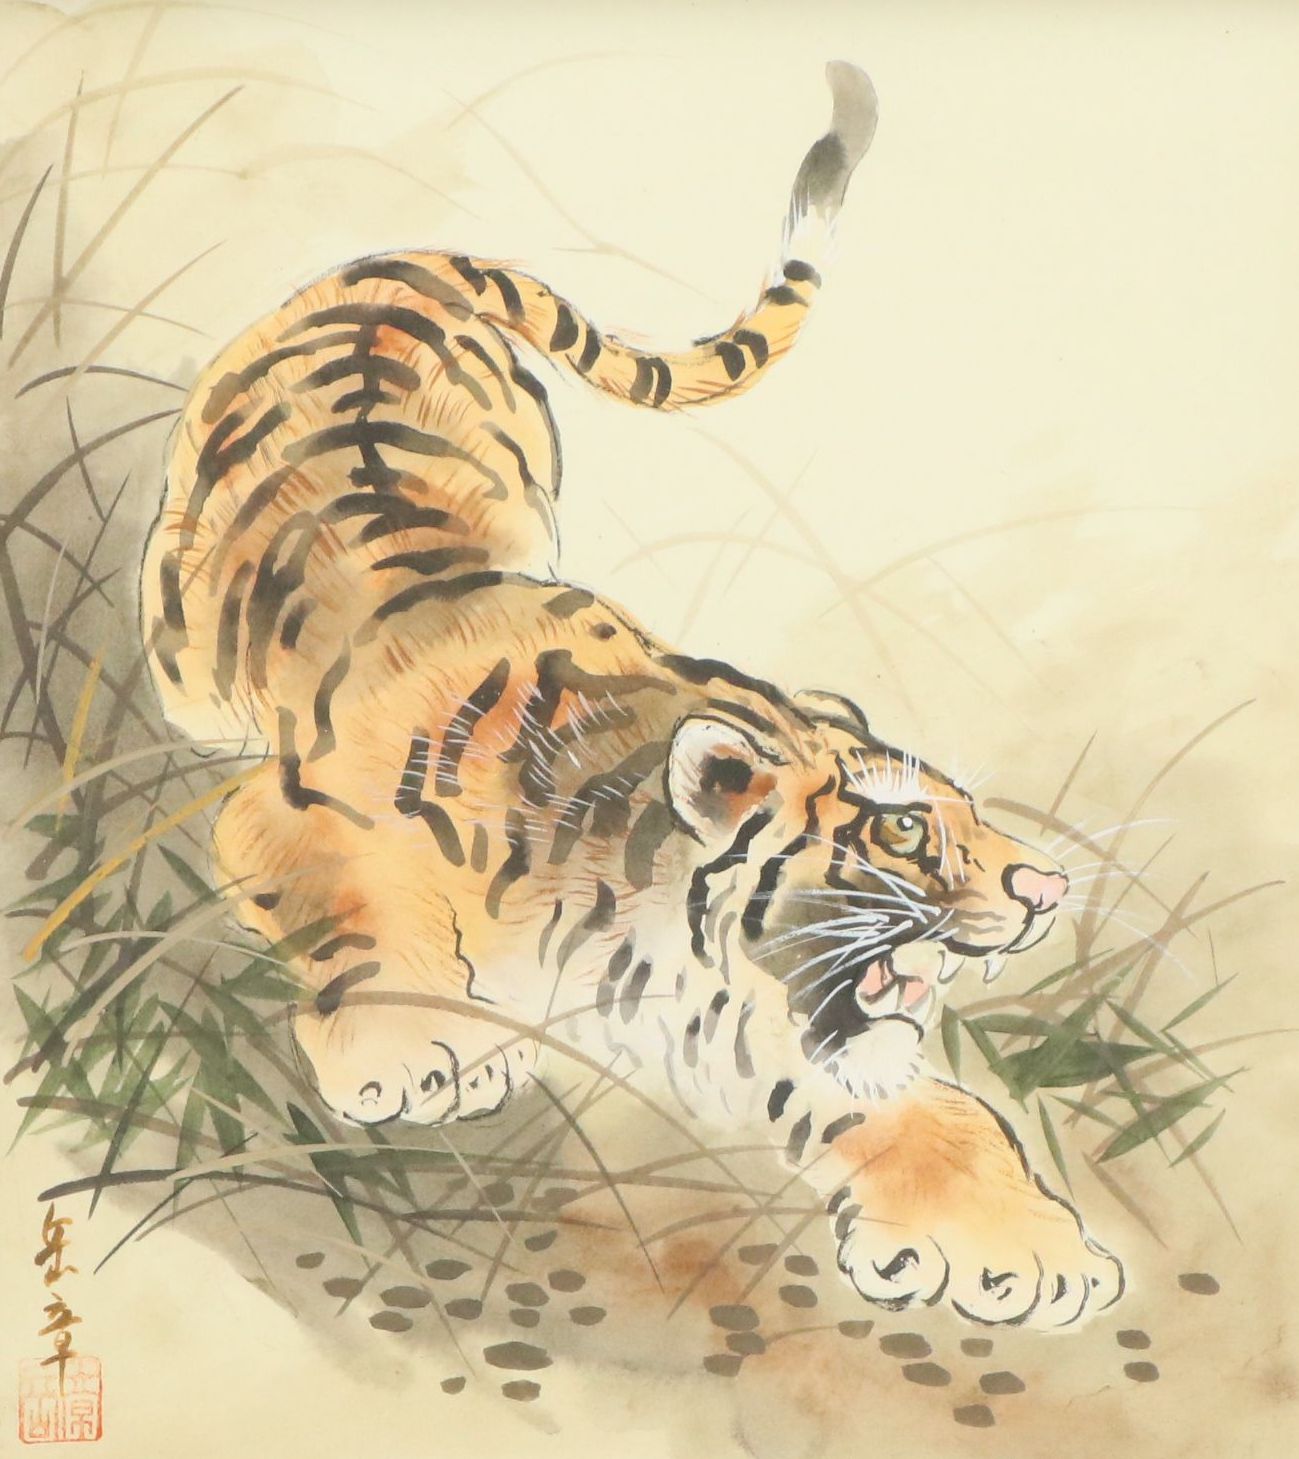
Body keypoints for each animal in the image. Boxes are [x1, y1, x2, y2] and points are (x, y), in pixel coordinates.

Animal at [141, 61, 1122, 1328]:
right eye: (905, 829)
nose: (1050, 887)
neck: (643, 920)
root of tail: (393, 266)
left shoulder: (766, 1025)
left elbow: (935, 1108)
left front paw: (1035, 1248)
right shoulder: (289, 809)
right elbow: (360, 910)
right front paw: (415, 1055)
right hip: (186, 641)